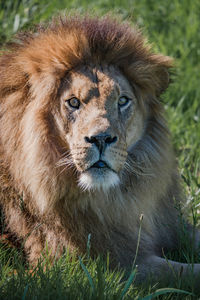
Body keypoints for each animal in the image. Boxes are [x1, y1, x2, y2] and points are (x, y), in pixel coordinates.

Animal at [0, 15, 200, 284]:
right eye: (73, 102)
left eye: (122, 101)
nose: (101, 138)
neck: (114, 198)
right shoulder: (112, 264)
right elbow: (184, 273)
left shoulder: (171, 225)